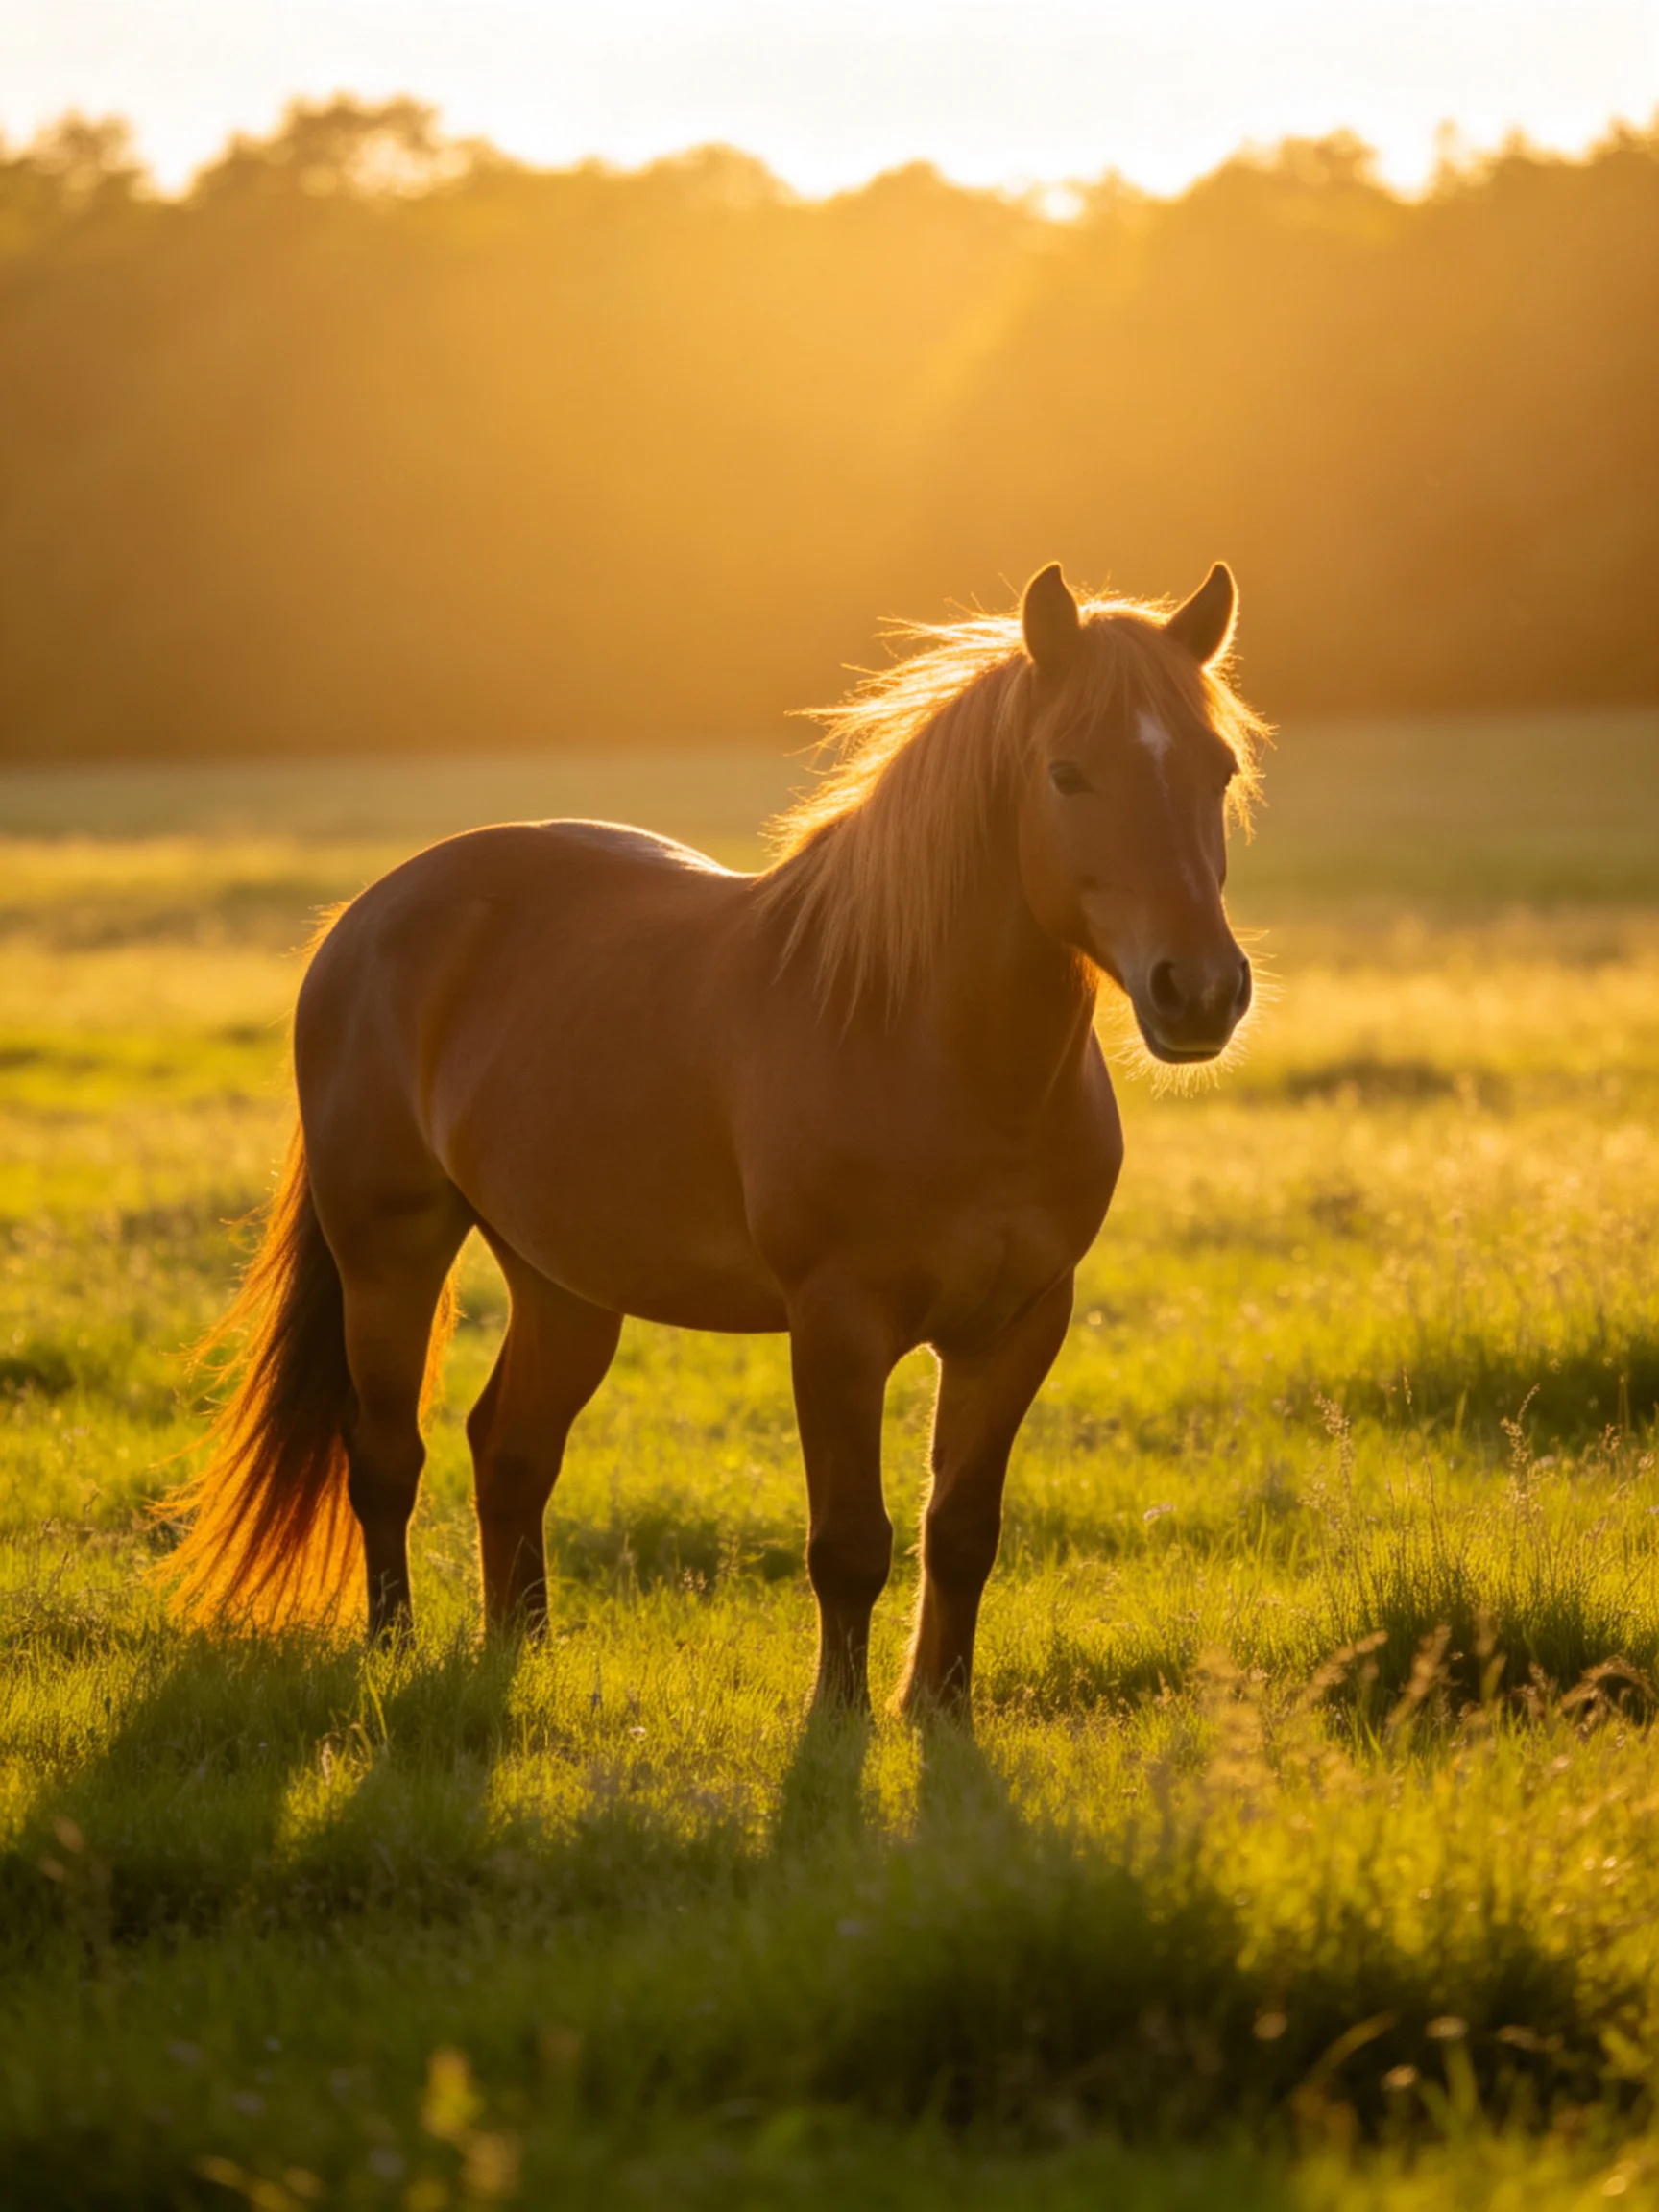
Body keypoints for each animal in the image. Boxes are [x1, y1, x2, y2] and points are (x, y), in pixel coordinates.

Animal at [164, 560, 1266, 1717]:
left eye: (1218, 767)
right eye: (1066, 772)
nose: (1199, 992)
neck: (935, 1048)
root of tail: (367, 915)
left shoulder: (1019, 1325)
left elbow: (961, 1533)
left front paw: (941, 1711)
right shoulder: (837, 1324)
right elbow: (850, 1544)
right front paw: (839, 1719)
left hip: (564, 1282)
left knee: (510, 1450)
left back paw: (524, 1652)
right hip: (390, 1253)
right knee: (385, 1454)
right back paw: (392, 1648)